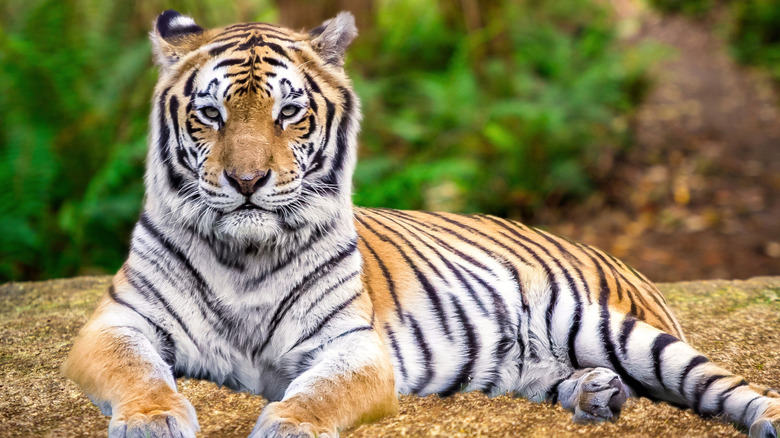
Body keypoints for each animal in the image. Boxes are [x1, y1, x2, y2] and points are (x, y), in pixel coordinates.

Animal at [62, 7, 780, 438]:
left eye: (288, 113)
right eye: (210, 115)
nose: (245, 183)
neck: (244, 257)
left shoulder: (353, 346)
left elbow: (317, 395)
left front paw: (286, 424)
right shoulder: (116, 323)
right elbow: (137, 371)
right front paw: (153, 419)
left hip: (615, 328)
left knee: (716, 380)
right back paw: (594, 394)